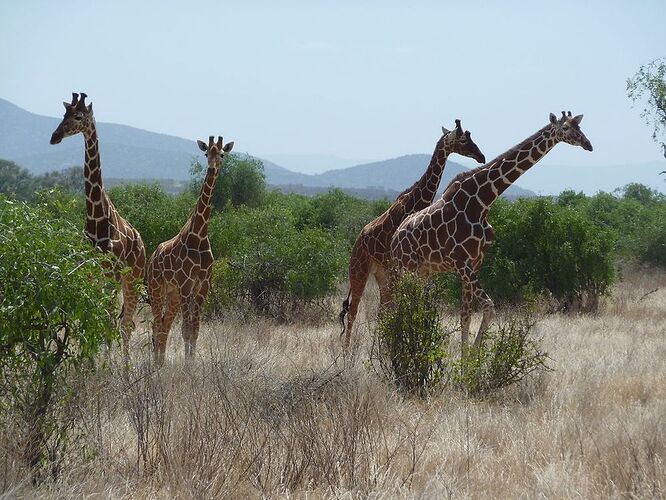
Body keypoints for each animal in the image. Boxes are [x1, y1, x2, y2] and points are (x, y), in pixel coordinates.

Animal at [50, 93, 146, 352]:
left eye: (78, 116)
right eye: (63, 114)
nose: (55, 136)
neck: (96, 219)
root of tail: (142, 243)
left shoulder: (112, 273)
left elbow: (108, 321)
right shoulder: (91, 273)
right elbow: (94, 319)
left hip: (133, 276)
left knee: (126, 323)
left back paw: (125, 362)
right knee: (120, 321)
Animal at [147, 135, 233, 366]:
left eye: (222, 154)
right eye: (206, 154)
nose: (212, 167)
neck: (199, 235)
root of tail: (151, 258)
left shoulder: (202, 285)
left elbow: (195, 330)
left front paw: (191, 364)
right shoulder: (187, 284)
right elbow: (186, 330)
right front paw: (187, 366)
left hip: (173, 294)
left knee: (164, 325)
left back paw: (160, 363)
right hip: (156, 288)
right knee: (156, 325)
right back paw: (155, 365)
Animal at [340, 120, 486, 348]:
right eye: (463, 139)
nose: (481, 156)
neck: (418, 200)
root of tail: (357, 241)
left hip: (381, 273)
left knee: (380, 310)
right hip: (358, 269)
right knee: (353, 311)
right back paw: (347, 352)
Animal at [390, 110, 592, 352]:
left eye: (579, 127)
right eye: (565, 128)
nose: (588, 144)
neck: (483, 202)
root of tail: (395, 237)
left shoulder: (476, 261)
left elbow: (466, 315)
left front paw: (468, 359)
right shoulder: (461, 261)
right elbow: (489, 307)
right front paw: (473, 355)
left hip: (424, 270)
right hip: (405, 267)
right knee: (398, 306)